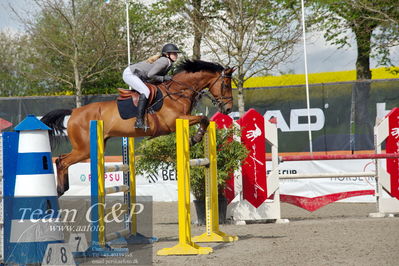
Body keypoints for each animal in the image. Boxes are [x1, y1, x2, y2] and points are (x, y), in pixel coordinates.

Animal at [41, 59, 234, 195]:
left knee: (62, 160)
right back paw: (60, 190)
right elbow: (203, 118)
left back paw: (63, 188)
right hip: (84, 148)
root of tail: (73, 112)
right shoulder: (174, 121)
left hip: (91, 146)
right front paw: (195, 138)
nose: (228, 109)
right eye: (225, 85)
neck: (178, 92)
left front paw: (196, 137)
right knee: (61, 161)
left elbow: (204, 119)